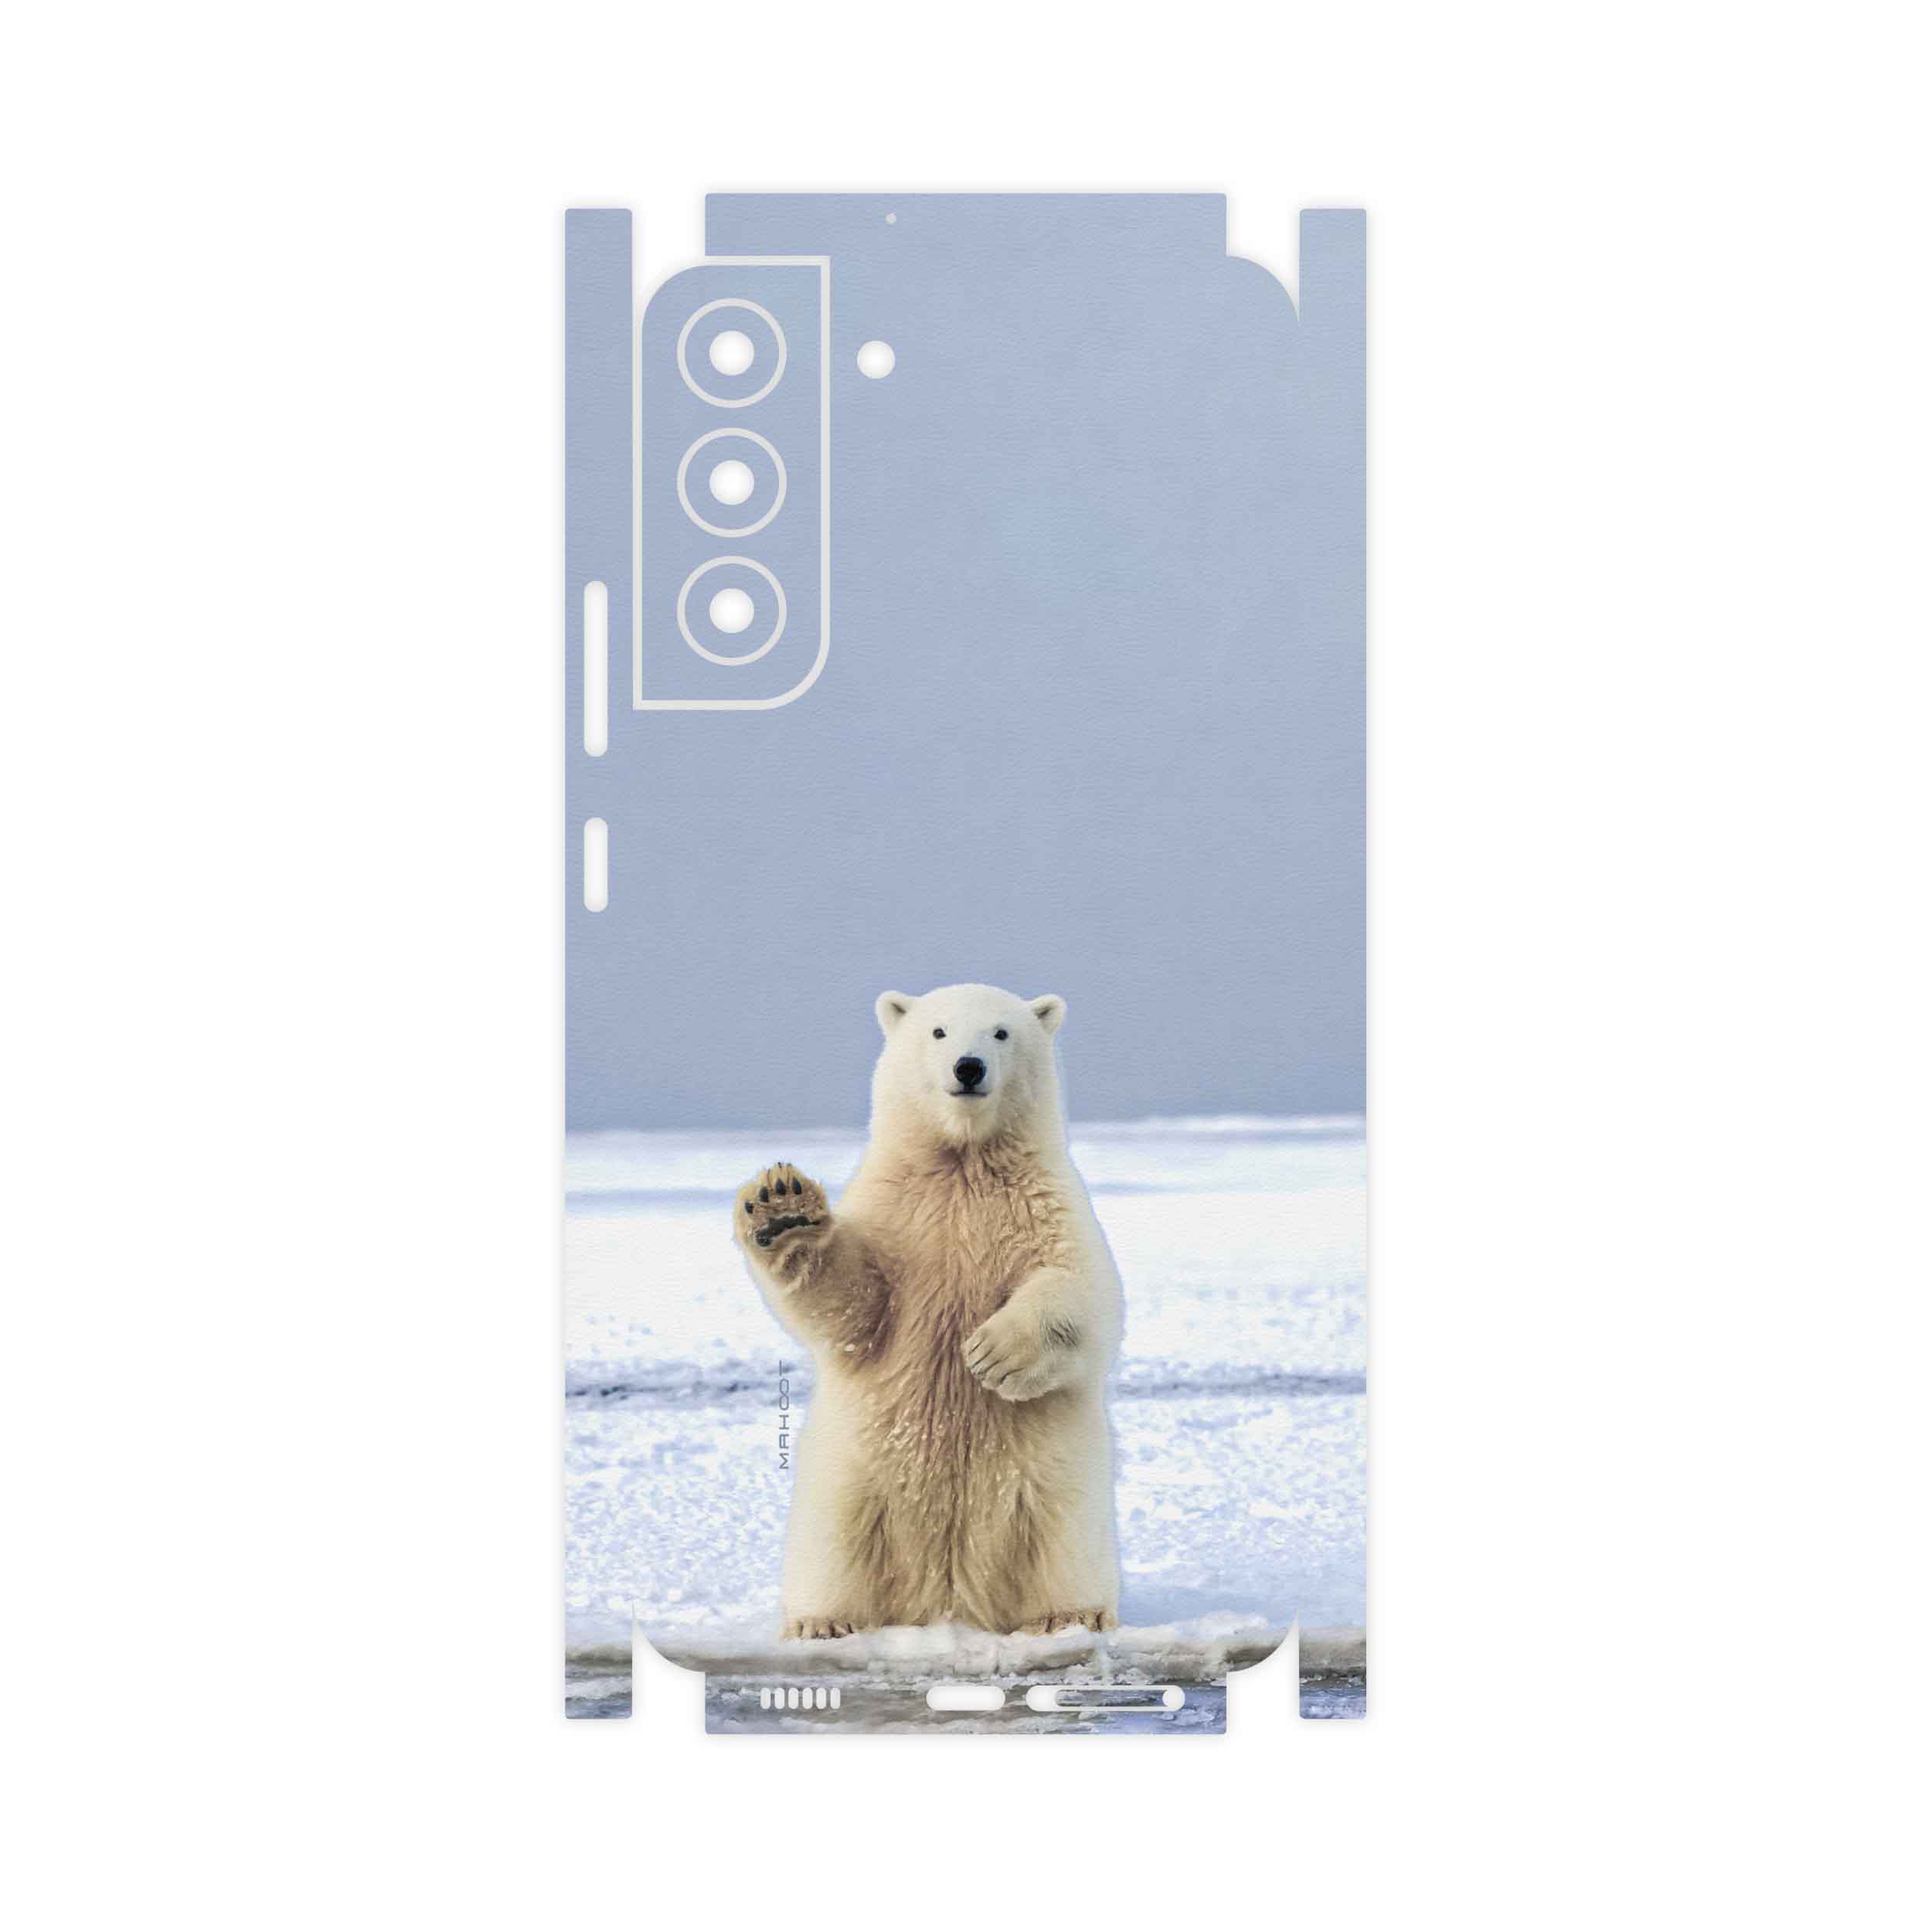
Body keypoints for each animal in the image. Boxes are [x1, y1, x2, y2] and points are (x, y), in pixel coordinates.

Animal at [734, 983, 1123, 1640]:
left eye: (1001, 1032)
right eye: (939, 1031)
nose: (968, 1068)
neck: (963, 1162)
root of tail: (947, 1600)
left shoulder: (1046, 1205)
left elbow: (1084, 1290)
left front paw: (992, 1353)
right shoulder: (899, 1214)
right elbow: (855, 1305)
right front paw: (782, 1209)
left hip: (1056, 1486)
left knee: (1062, 1542)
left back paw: (1070, 1615)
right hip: (851, 1482)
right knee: (835, 1547)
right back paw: (822, 1621)